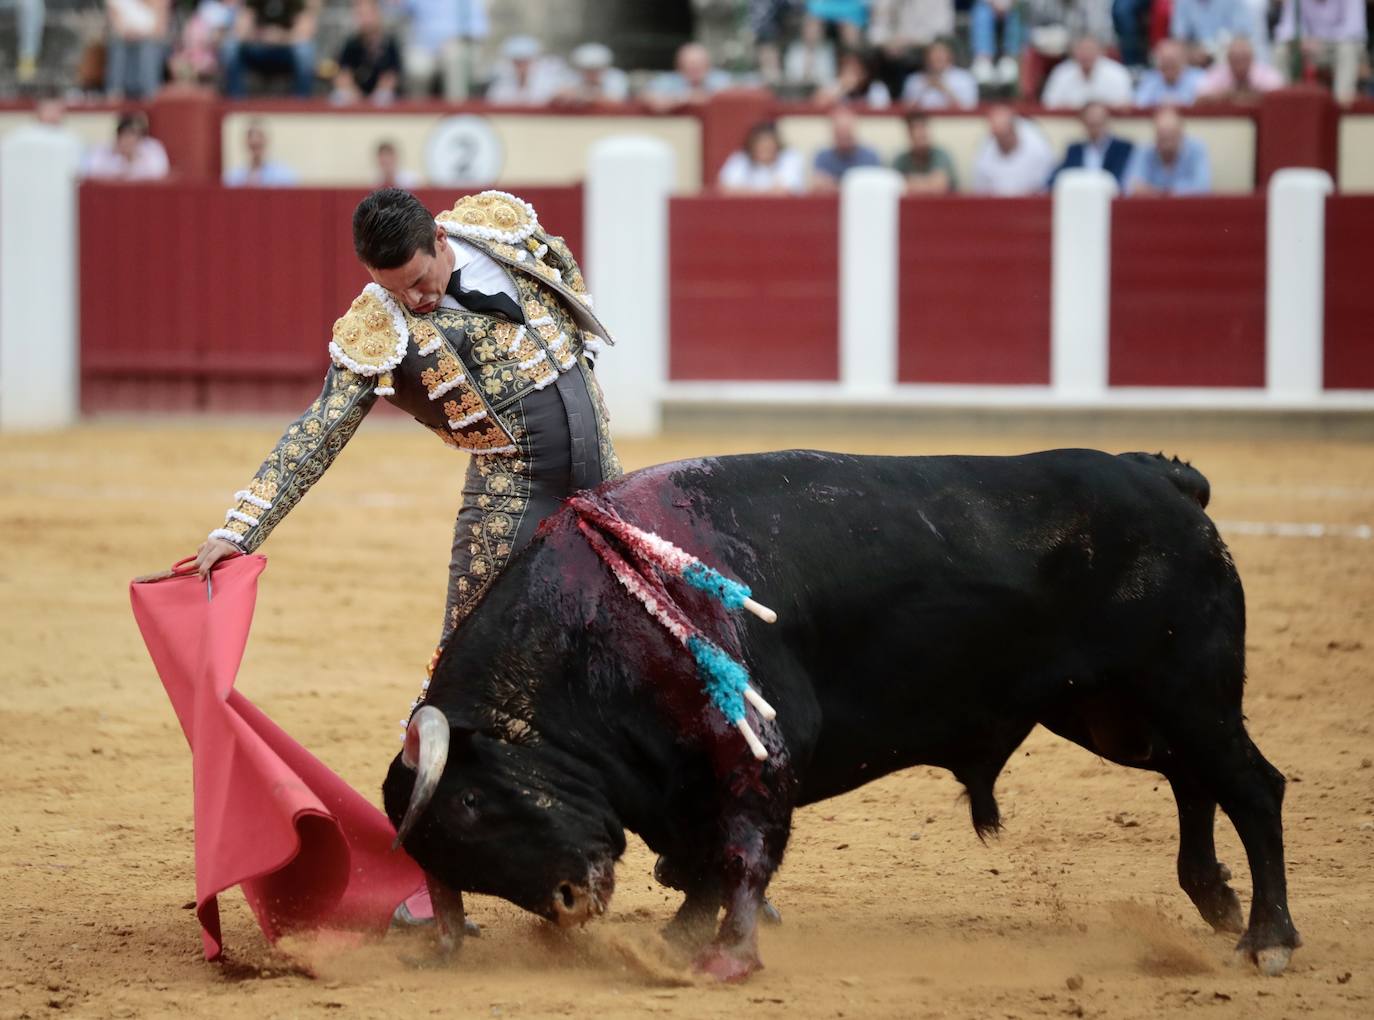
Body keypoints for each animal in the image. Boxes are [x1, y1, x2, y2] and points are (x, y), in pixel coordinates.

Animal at [379, 448, 1297, 984]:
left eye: (471, 802)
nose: (570, 903)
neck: (600, 611)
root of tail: (1164, 480)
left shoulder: (758, 750)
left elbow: (742, 853)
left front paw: (726, 957)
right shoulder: (685, 782)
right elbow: (706, 863)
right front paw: (681, 942)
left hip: (1188, 688)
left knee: (1252, 786)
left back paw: (1269, 939)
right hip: (1111, 712)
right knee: (1190, 778)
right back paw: (1214, 898)